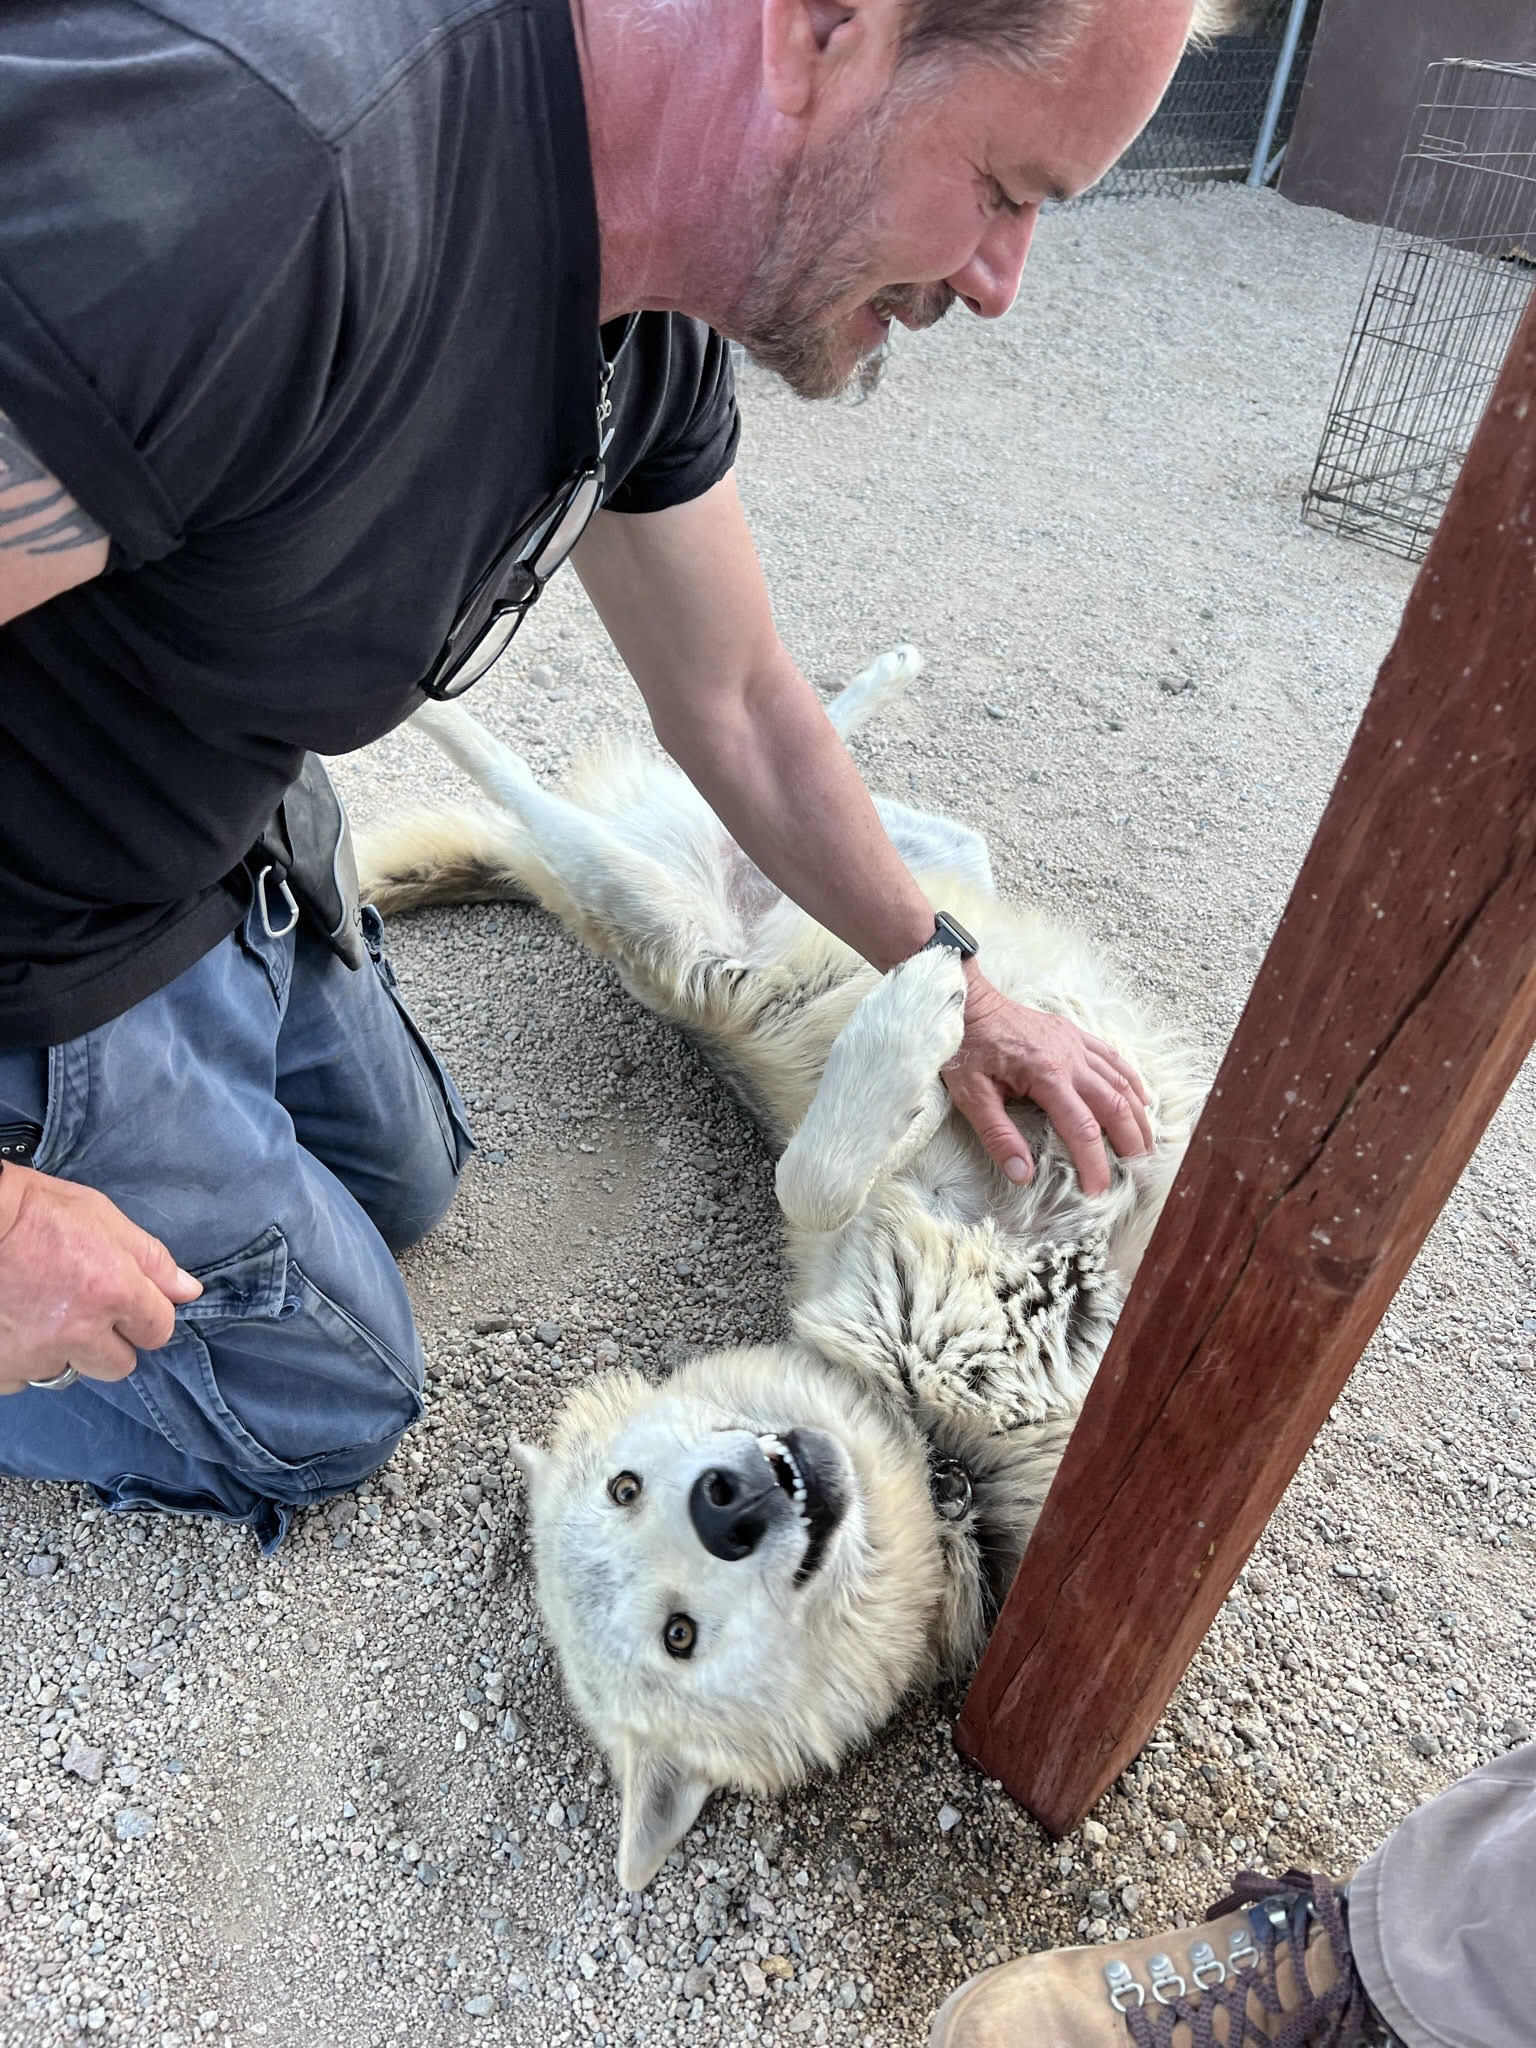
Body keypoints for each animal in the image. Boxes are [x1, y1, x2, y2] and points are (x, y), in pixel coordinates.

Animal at [354, 651, 1212, 1884]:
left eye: (625, 1482)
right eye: (678, 1634)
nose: (727, 1501)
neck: (936, 1442)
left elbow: (816, 1166)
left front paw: (920, 1036)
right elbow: (803, 1179)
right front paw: (914, 1036)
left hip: (732, 873)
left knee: (791, 784)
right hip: (659, 921)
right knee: (558, 800)